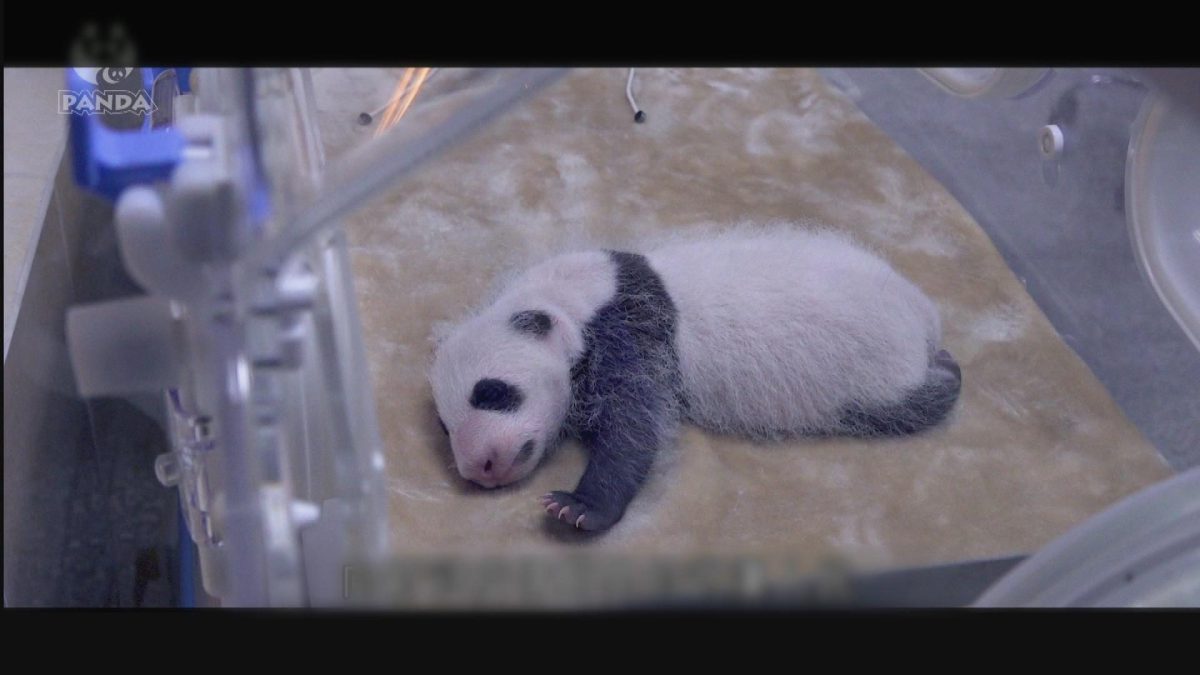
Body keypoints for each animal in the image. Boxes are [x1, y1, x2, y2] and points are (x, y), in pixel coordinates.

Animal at [429, 226, 962, 533]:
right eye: (445, 425)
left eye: (492, 394)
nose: (481, 467)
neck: (564, 299)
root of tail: (926, 317)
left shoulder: (632, 333)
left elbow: (635, 424)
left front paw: (577, 508)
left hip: (873, 369)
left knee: (906, 403)